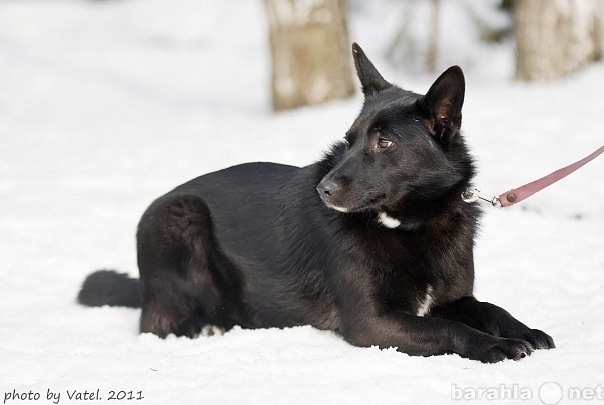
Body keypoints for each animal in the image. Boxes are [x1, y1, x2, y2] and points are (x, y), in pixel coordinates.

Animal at [78, 42, 556, 362]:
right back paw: (205, 325)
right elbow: (447, 329)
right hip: (181, 215)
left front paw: (525, 330)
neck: (408, 225)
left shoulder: (453, 299)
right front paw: (496, 345)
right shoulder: (372, 322)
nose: (323, 189)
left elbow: (487, 307)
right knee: (157, 324)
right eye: (349, 140)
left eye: (384, 142)